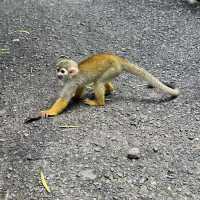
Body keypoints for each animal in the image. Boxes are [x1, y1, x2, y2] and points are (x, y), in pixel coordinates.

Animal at [39, 53, 180, 118]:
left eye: (62, 71)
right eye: (57, 69)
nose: (58, 74)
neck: (72, 75)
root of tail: (118, 59)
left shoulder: (71, 82)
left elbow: (64, 99)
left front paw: (49, 112)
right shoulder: (75, 81)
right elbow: (81, 86)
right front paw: (76, 97)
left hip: (113, 69)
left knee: (98, 83)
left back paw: (99, 103)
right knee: (99, 81)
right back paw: (109, 89)